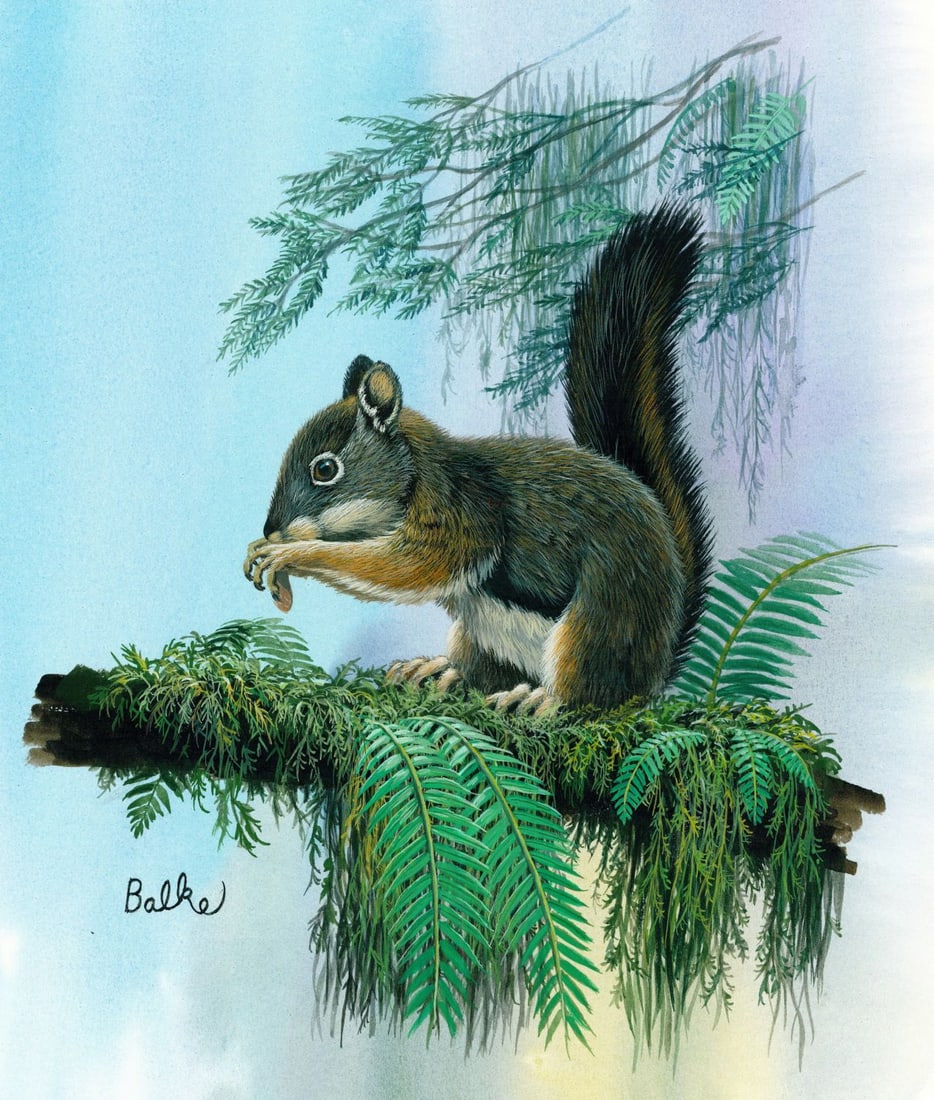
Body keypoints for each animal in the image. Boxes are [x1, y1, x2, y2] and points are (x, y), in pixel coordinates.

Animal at [244, 204, 713, 712]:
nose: (271, 529)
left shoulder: (463, 511)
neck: (418, 471)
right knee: (485, 668)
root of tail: (656, 668)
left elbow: (415, 564)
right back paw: (440, 670)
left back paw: (545, 701)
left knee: (592, 690)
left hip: (603, 616)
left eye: (325, 469)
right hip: (480, 629)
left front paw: (292, 553)